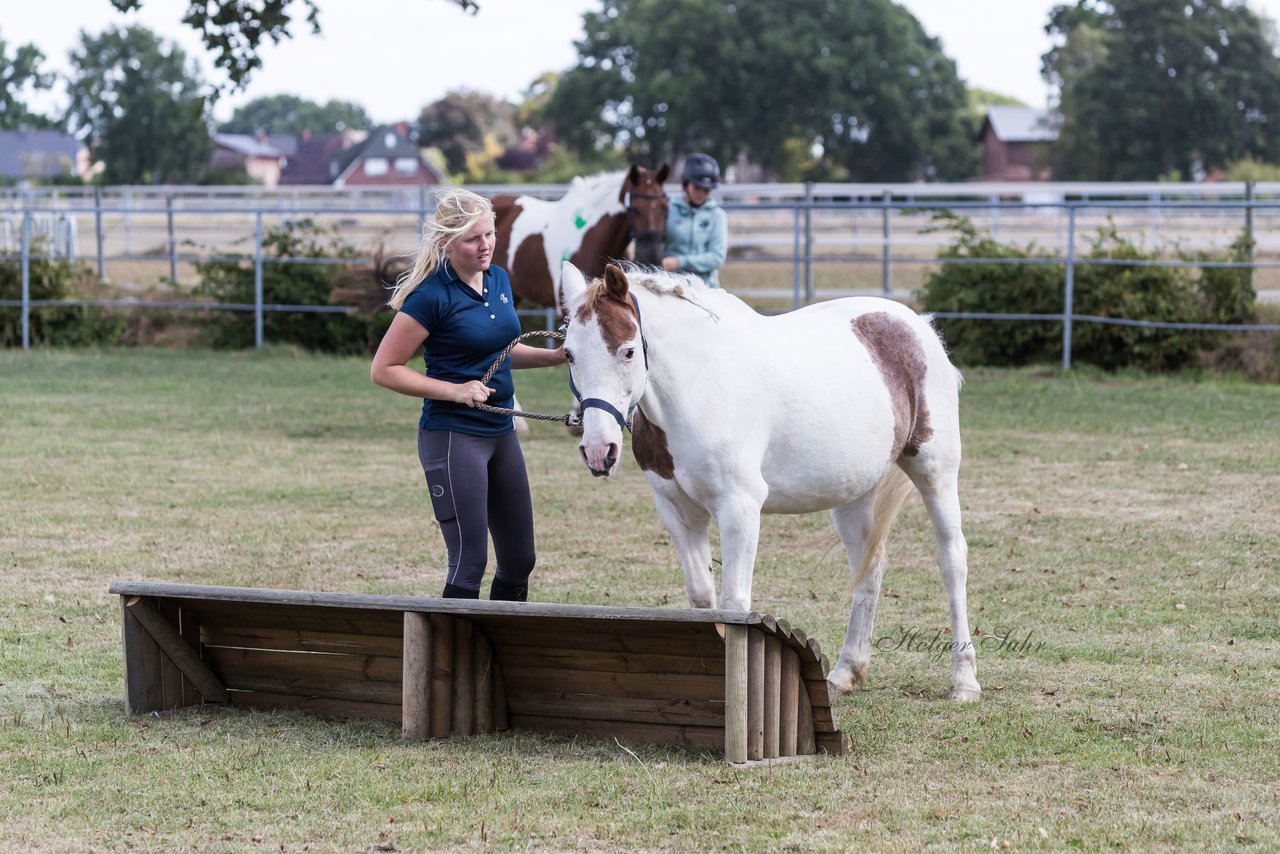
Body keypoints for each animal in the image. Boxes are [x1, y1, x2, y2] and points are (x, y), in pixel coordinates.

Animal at [558, 263, 977, 706]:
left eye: (628, 351)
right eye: (568, 353)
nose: (598, 450)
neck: (699, 388)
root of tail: (917, 325)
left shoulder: (739, 509)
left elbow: (734, 604)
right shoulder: (678, 512)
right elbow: (702, 597)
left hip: (935, 473)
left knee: (952, 560)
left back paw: (964, 681)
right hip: (853, 495)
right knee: (869, 569)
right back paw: (846, 672)